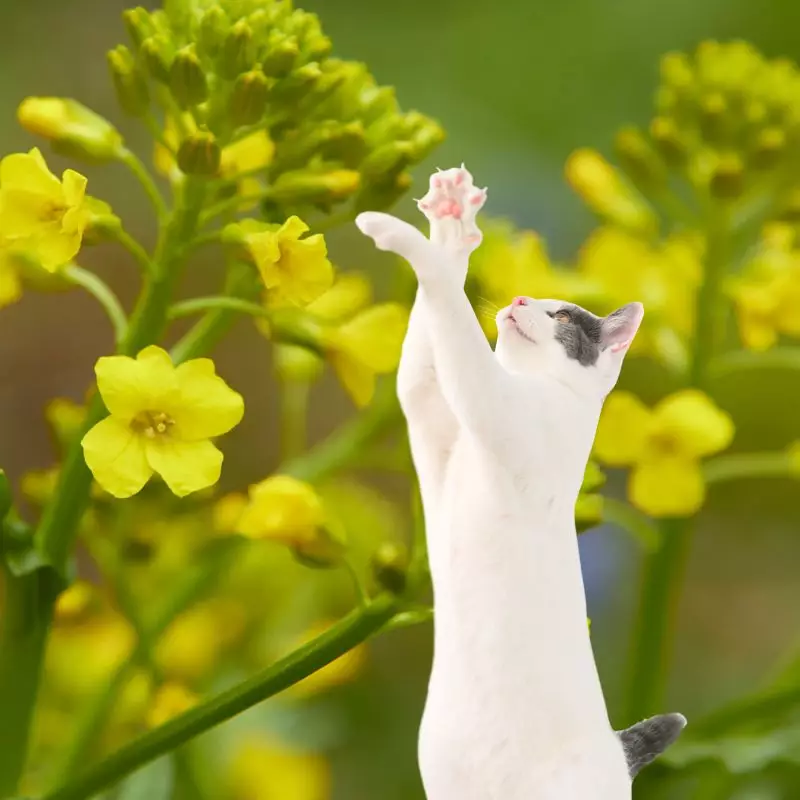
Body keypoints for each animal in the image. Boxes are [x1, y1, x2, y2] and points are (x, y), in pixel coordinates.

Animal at [356, 166, 688, 796]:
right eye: (534, 301)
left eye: (562, 317)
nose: (518, 298)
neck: (534, 384)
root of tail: (619, 751)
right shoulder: (430, 411)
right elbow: (423, 351)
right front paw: (450, 223)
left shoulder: (487, 399)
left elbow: (447, 304)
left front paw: (415, 237)